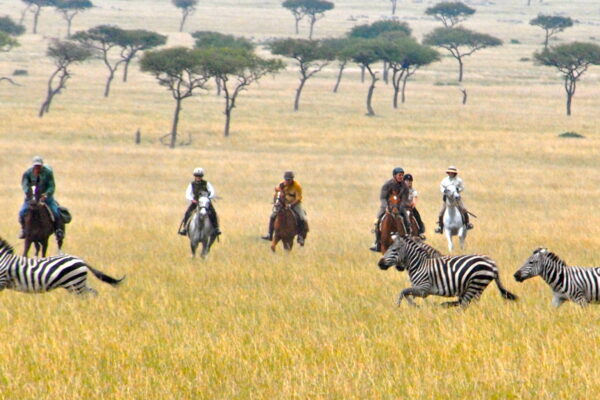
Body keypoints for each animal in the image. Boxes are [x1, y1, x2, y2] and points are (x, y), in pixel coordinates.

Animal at [380, 236, 516, 308]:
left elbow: (403, 292)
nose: (380, 264)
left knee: (464, 305)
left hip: (476, 283)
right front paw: (414, 305)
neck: (419, 265)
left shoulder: (424, 289)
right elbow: (406, 293)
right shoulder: (419, 289)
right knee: (471, 304)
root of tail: (492, 264)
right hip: (478, 287)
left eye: (394, 250)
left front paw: (398, 306)